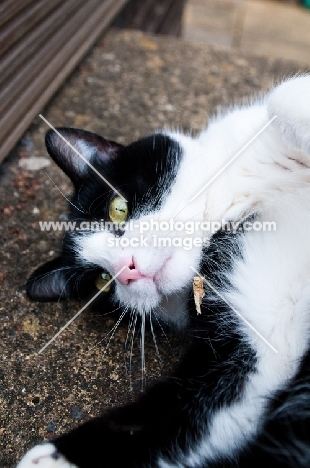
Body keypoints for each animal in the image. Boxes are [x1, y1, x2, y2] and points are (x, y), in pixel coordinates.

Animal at [18, 75, 310, 466]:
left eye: (118, 209)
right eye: (102, 282)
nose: (128, 270)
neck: (229, 210)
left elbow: (282, 99)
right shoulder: (257, 345)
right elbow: (188, 412)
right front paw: (54, 457)